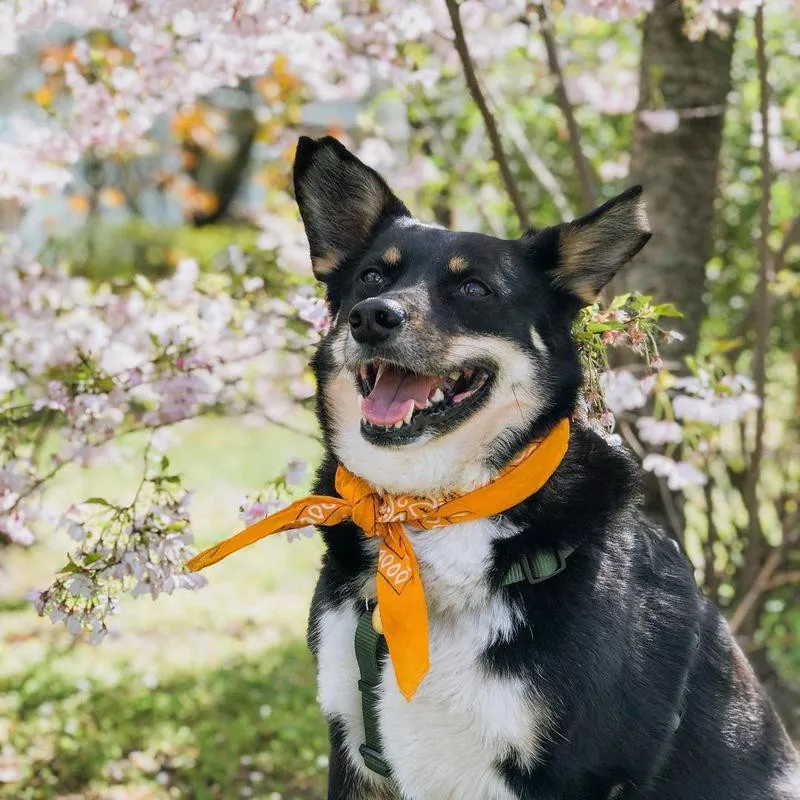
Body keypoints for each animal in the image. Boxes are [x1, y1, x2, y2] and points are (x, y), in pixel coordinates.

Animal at [294, 138, 800, 800]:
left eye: (475, 289)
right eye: (373, 276)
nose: (372, 316)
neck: (433, 511)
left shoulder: (569, 770)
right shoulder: (353, 744)